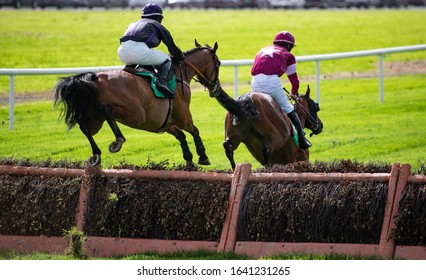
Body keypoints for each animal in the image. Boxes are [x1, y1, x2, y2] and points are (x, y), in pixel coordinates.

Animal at [53, 39, 220, 166]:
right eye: (218, 63)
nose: (215, 88)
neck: (180, 75)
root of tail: (94, 79)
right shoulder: (183, 117)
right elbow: (194, 130)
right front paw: (203, 156)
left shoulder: (164, 123)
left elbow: (181, 136)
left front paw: (189, 159)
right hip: (136, 114)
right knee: (106, 110)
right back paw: (118, 140)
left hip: (95, 120)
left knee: (85, 127)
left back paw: (96, 153)